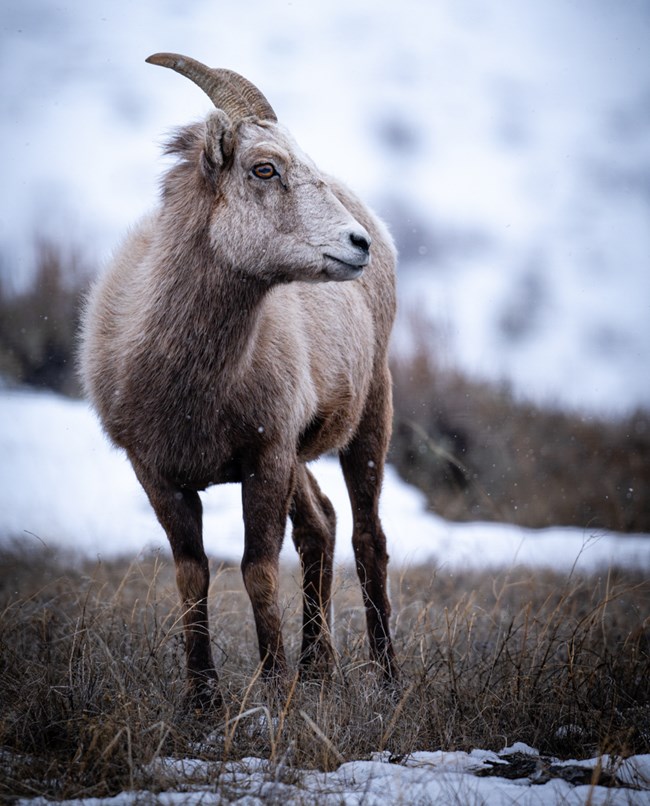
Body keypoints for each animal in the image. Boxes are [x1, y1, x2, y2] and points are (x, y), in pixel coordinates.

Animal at [79, 52, 398, 708]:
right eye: (265, 168)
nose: (357, 244)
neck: (188, 389)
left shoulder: (264, 457)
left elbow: (258, 571)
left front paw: (273, 688)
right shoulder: (158, 474)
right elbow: (192, 574)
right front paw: (203, 697)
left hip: (368, 417)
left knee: (366, 538)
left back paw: (384, 678)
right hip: (302, 454)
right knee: (322, 526)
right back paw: (319, 669)